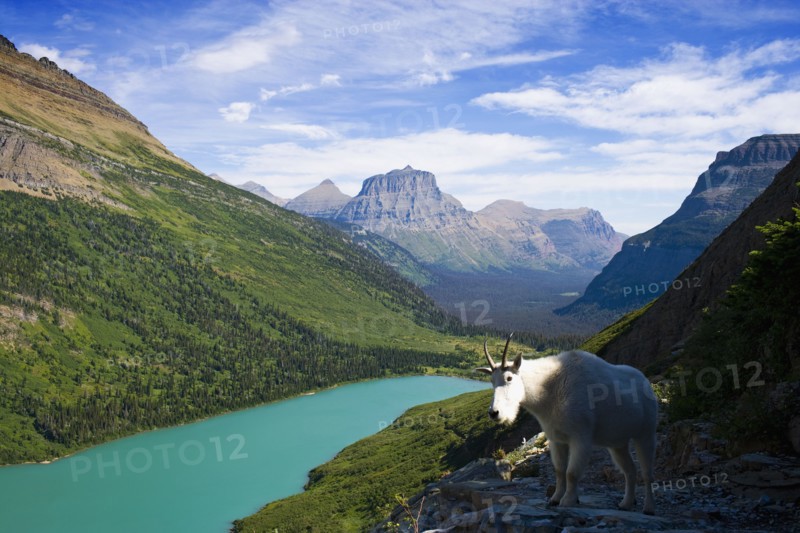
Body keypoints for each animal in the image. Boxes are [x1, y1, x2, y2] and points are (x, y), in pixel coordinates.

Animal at [476, 334, 657, 514]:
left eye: (509, 378)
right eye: (491, 381)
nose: (494, 413)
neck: (549, 387)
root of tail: (646, 383)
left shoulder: (581, 437)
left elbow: (571, 472)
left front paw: (568, 501)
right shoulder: (556, 439)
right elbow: (559, 470)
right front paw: (555, 499)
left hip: (646, 433)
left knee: (647, 473)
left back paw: (648, 507)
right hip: (617, 443)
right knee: (630, 470)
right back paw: (626, 503)